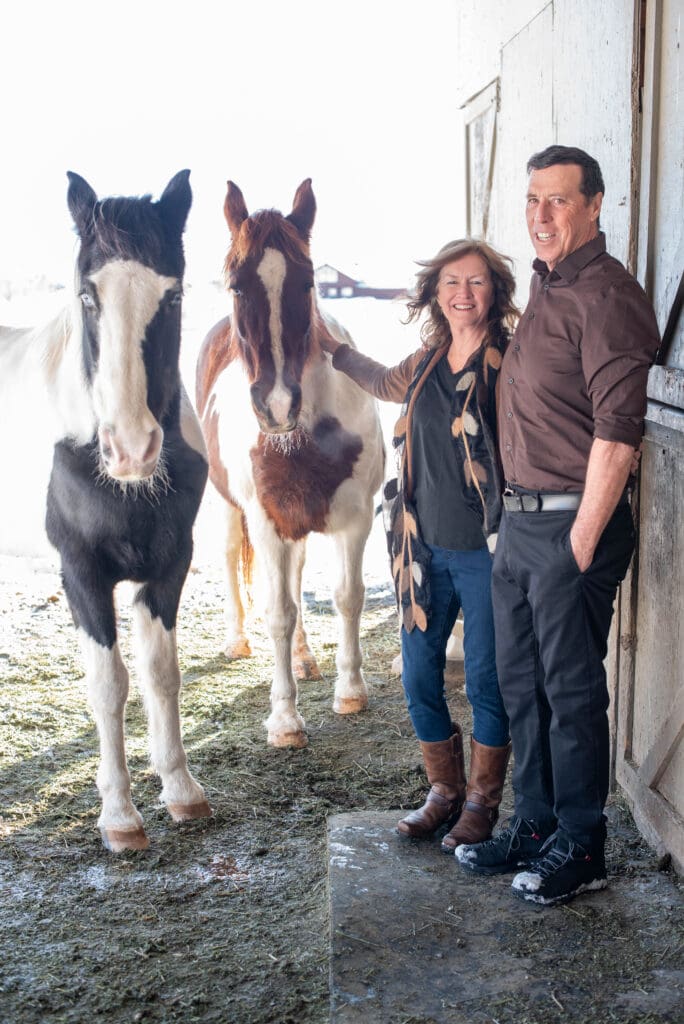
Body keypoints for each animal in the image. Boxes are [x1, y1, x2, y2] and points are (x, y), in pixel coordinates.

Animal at [0, 172, 209, 851]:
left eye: (172, 296)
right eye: (87, 296)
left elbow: (159, 672)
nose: (131, 448)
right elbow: (108, 683)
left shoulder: (169, 566)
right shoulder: (82, 574)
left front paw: (180, 790)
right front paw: (119, 814)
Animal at [194, 180, 385, 749]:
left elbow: (347, 597)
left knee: (297, 579)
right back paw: (238, 641)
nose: (277, 406)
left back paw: (303, 659)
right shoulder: (266, 520)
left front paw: (350, 691)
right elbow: (278, 611)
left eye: (307, 282)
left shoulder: (355, 517)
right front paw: (284, 720)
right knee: (233, 559)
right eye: (237, 287)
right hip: (232, 508)